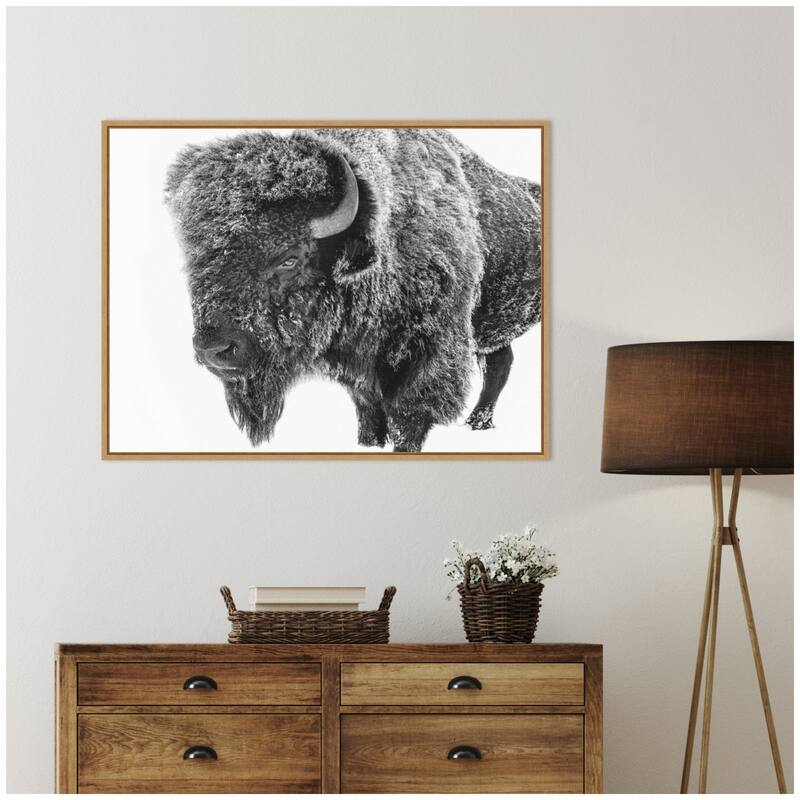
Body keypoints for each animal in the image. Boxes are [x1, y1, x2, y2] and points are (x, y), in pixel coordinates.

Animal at [165, 128, 541, 452]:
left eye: (289, 257)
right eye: (195, 259)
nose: (214, 349)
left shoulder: (428, 359)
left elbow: (409, 418)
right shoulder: (358, 374)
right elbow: (370, 415)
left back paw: (479, 422)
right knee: (501, 361)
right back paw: (479, 422)